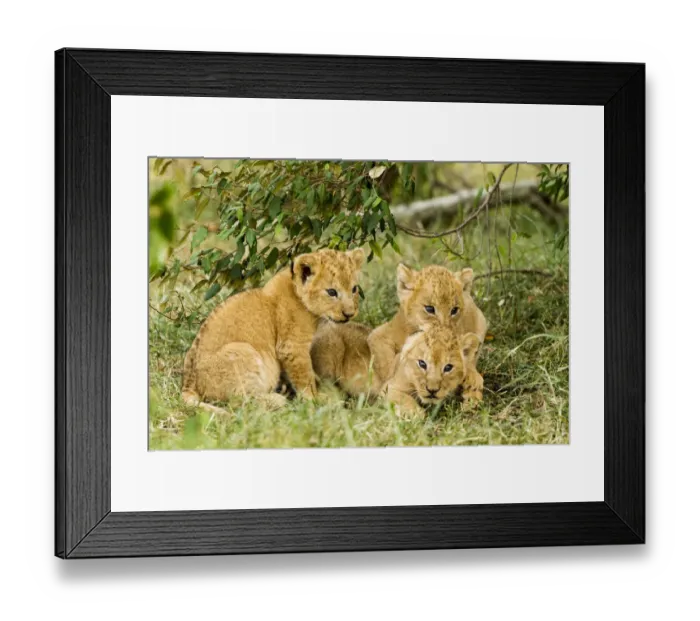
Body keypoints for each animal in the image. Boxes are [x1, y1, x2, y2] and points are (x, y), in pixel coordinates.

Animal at [182, 248, 365, 412]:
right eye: (332, 292)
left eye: (354, 289)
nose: (350, 314)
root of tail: (188, 384)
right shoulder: (292, 347)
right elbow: (305, 377)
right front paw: (315, 399)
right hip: (243, 350)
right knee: (239, 401)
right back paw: (277, 400)